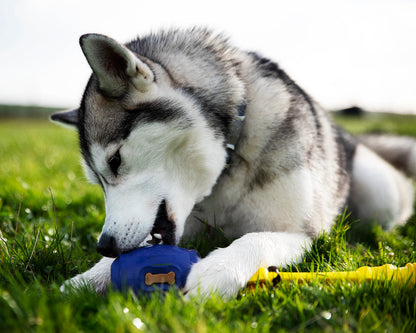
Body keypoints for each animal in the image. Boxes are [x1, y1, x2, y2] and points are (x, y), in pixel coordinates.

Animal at [52, 27, 416, 296]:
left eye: (114, 161)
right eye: (96, 181)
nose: (105, 245)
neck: (227, 164)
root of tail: (350, 136)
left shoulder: (300, 231)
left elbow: (253, 239)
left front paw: (218, 271)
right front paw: (87, 279)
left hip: (379, 192)